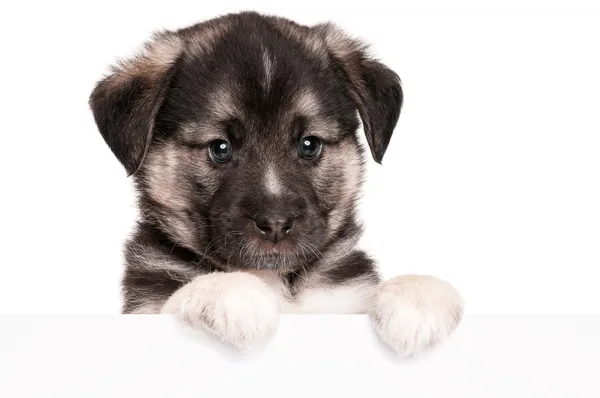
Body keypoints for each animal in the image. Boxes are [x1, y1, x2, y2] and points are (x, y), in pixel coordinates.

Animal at [88, 10, 464, 356]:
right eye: (220, 148)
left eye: (309, 145)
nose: (275, 224)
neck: (277, 278)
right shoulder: (145, 309)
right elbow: (189, 292)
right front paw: (231, 293)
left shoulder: (341, 300)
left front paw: (419, 298)